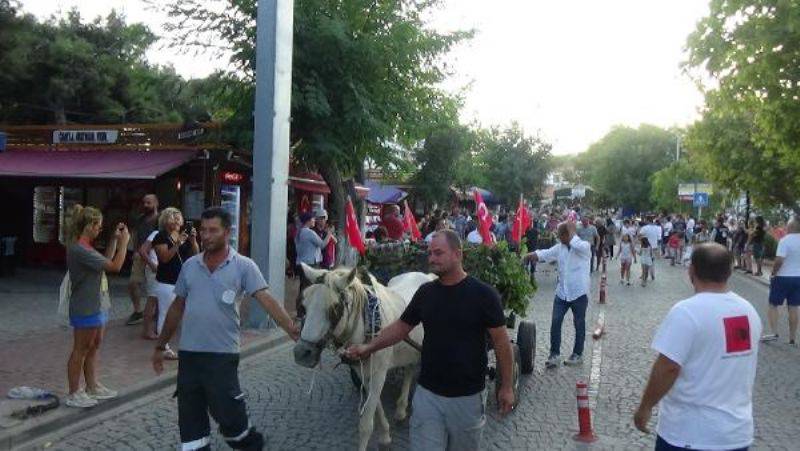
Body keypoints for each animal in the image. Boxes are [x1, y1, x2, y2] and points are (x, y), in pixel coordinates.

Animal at [292, 264, 434, 451]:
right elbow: (376, 406)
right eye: (304, 305)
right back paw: (401, 410)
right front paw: (385, 435)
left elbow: (366, 424)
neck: (369, 324)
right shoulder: (363, 373)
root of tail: (427, 275)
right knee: (409, 369)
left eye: (334, 308)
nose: (301, 353)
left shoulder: (379, 373)